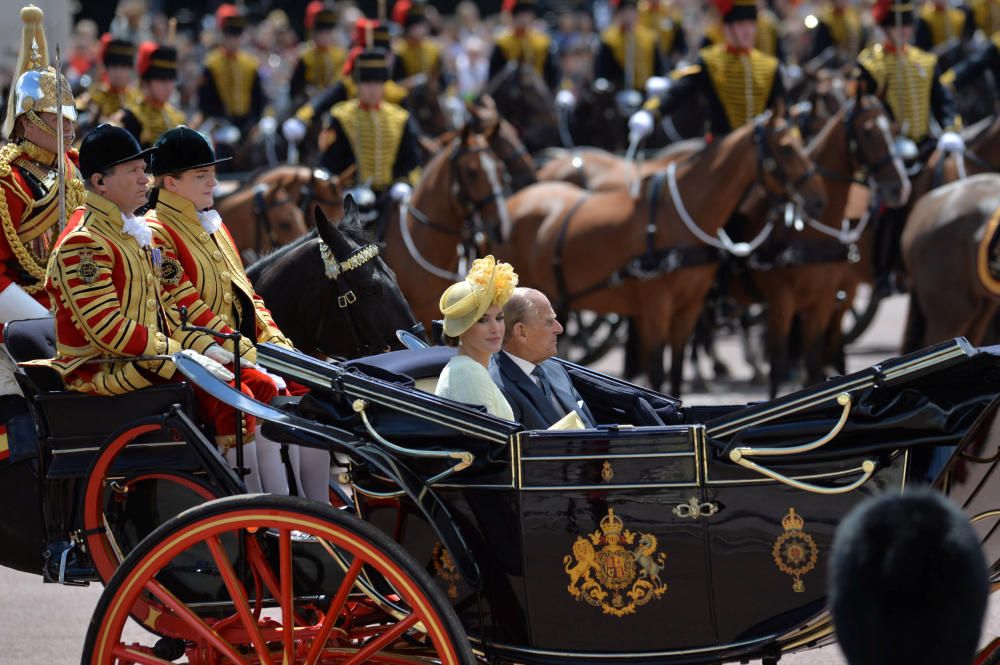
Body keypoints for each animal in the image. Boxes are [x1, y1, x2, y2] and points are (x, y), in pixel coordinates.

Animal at [500, 110, 828, 394]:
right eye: (786, 148)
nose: (817, 200)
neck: (676, 219)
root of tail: (514, 201)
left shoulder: (689, 307)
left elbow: (677, 369)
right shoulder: (656, 306)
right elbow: (657, 370)